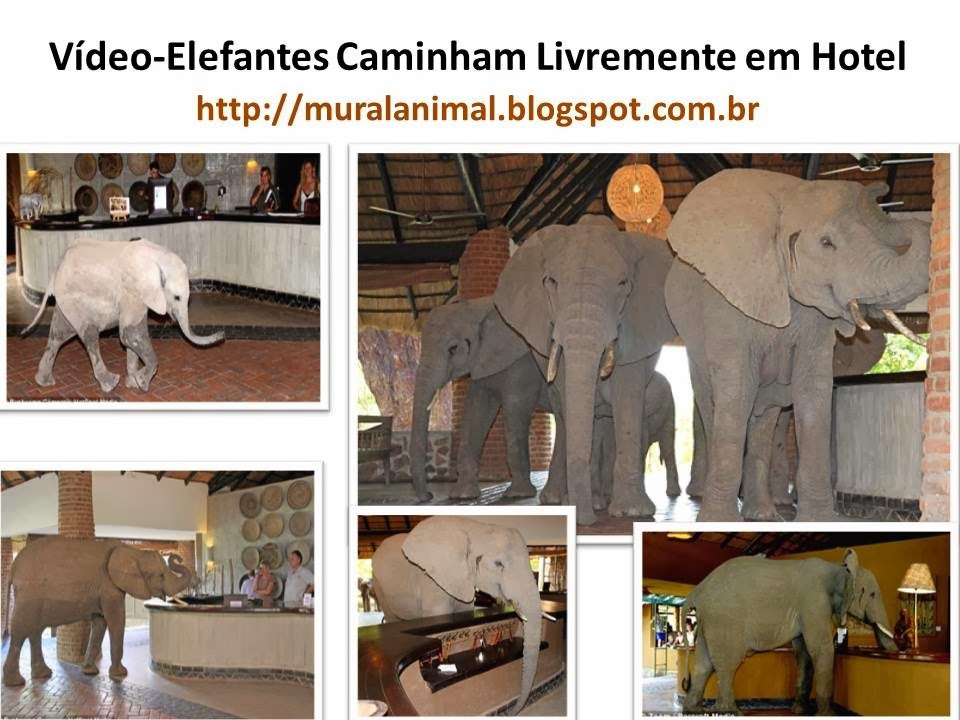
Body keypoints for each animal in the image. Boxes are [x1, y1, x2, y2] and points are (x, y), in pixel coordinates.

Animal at [2, 536, 198, 686]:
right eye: (160, 575)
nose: (176, 557)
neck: (132, 551)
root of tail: (13, 568)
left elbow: (99, 623)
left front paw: (89, 672)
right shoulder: (109, 588)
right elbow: (116, 620)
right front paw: (120, 674)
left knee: (34, 631)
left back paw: (42, 674)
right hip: (29, 595)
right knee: (20, 631)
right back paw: (15, 683)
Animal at [20, 238, 225, 393]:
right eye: (177, 297)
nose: (222, 334)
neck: (157, 256)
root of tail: (56, 268)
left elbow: (130, 339)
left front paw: (133, 383)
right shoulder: (132, 291)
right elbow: (129, 335)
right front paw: (142, 383)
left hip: (66, 300)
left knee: (60, 334)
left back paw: (43, 382)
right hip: (73, 298)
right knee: (89, 336)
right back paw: (110, 384)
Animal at [409, 298, 546, 502]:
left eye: (453, 349)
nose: (428, 496)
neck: (481, 307)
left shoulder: (523, 361)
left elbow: (516, 406)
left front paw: (518, 494)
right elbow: (477, 408)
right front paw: (462, 496)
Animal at [666, 169, 930, 521]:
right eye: (826, 243)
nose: (882, 186)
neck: (792, 196)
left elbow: (813, 390)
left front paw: (820, 520)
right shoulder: (725, 301)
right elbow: (736, 391)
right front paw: (715, 522)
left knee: (764, 417)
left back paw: (762, 514)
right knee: (713, 402)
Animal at [679, 548, 897, 715]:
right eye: (872, 594)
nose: (895, 653)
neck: (838, 566)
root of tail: (697, 590)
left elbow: (803, 653)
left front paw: (799, 710)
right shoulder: (814, 602)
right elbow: (822, 649)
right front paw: (828, 715)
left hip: (710, 621)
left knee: (704, 665)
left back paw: (693, 710)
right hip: (724, 620)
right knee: (727, 664)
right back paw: (731, 711)